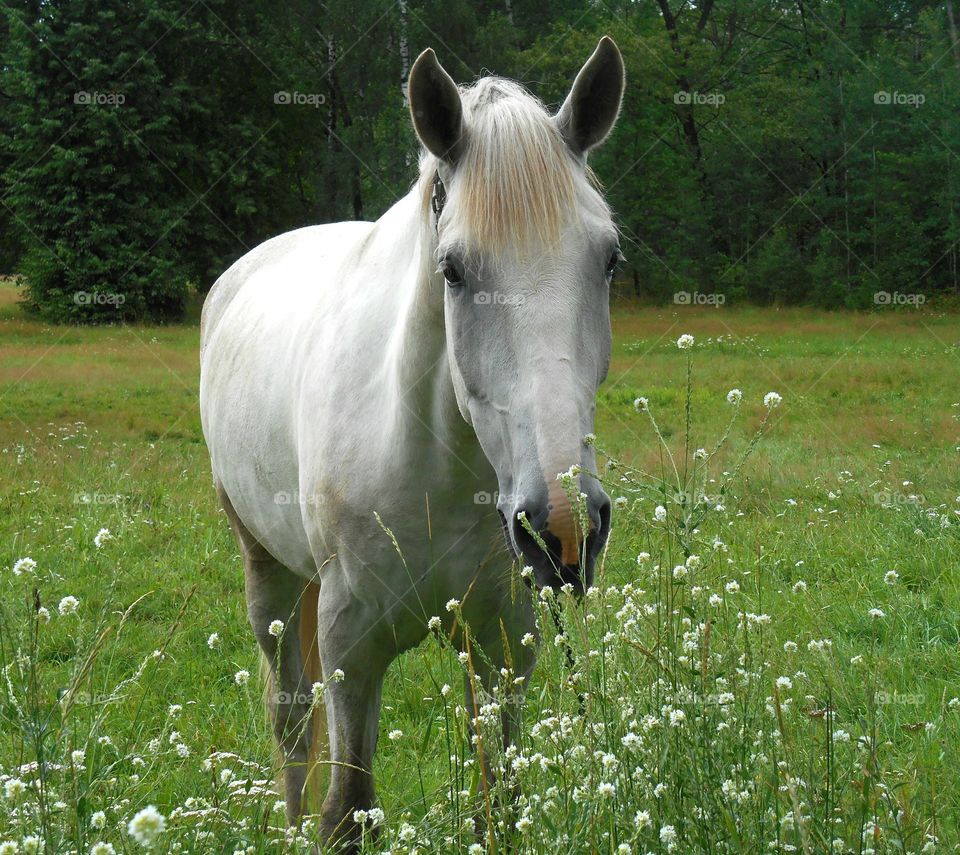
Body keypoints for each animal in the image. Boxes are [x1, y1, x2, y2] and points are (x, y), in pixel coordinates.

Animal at [199, 36, 624, 846]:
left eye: (609, 259)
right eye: (453, 269)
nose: (562, 528)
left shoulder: (501, 641)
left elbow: (499, 806)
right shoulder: (351, 645)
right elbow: (346, 810)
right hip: (265, 571)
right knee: (290, 719)